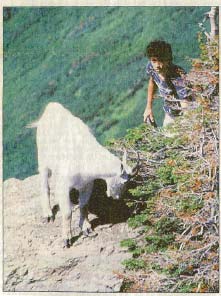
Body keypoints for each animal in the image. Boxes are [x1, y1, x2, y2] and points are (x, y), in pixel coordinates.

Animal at [27, 103, 138, 246]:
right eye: (122, 181)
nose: (117, 197)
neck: (86, 158)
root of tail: (50, 108)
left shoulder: (87, 185)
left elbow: (84, 205)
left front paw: (86, 228)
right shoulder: (64, 185)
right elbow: (67, 213)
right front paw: (67, 239)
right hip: (43, 158)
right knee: (44, 183)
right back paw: (48, 214)